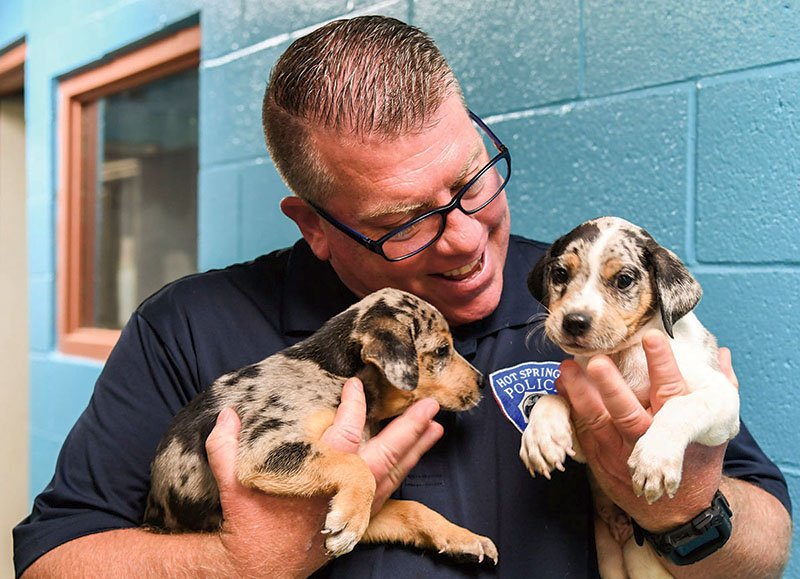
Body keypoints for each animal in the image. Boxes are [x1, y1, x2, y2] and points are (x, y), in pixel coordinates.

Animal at [143, 290, 494, 568]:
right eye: (441, 350)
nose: (482, 382)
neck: (334, 372)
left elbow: (412, 509)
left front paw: (462, 537)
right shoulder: (267, 446)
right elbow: (356, 466)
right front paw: (350, 520)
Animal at [520, 218, 740, 579]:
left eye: (623, 280)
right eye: (561, 274)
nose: (574, 321)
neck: (624, 355)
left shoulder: (723, 399)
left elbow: (681, 405)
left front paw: (654, 458)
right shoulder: (586, 439)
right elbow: (553, 397)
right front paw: (541, 436)